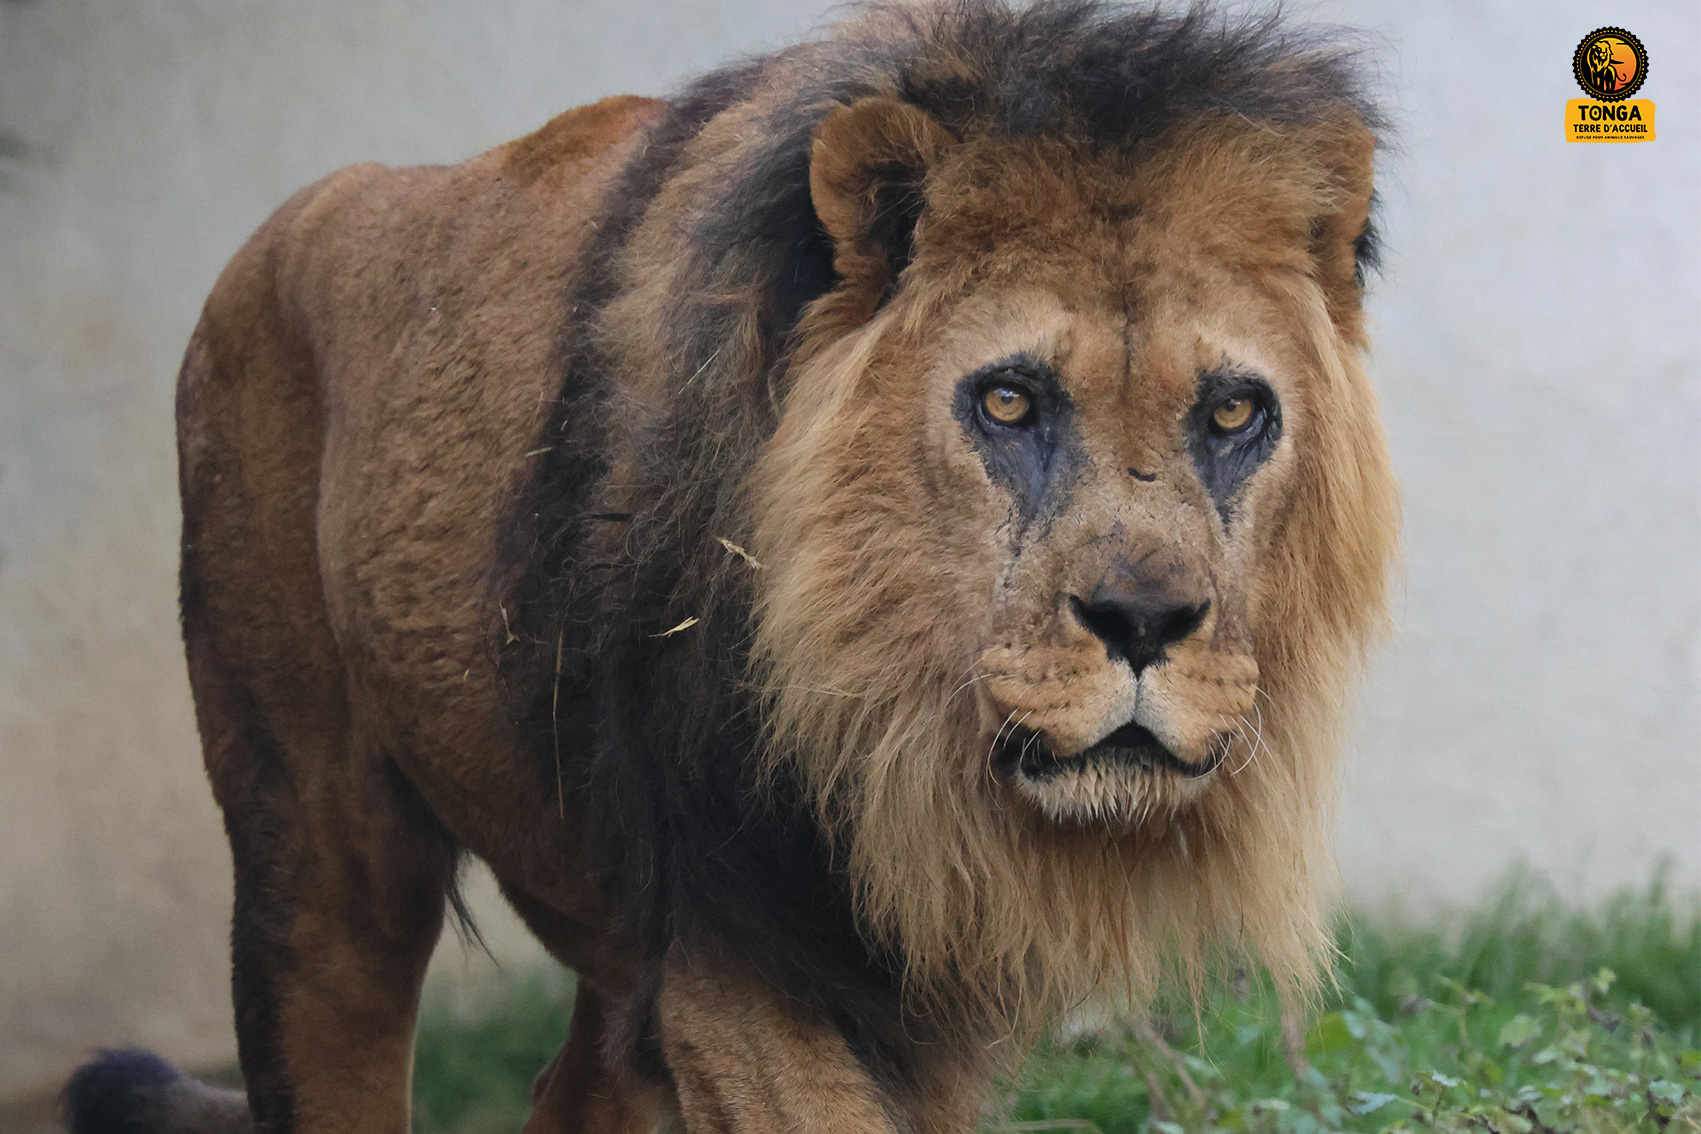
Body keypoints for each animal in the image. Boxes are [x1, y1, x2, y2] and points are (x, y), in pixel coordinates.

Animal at [63, 3, 1395, 1132]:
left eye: (1232, 414)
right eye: (1010, 401)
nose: (1143, 620)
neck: (903, 750)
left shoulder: (927, 994)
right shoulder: (729, 942)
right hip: (316, 844)